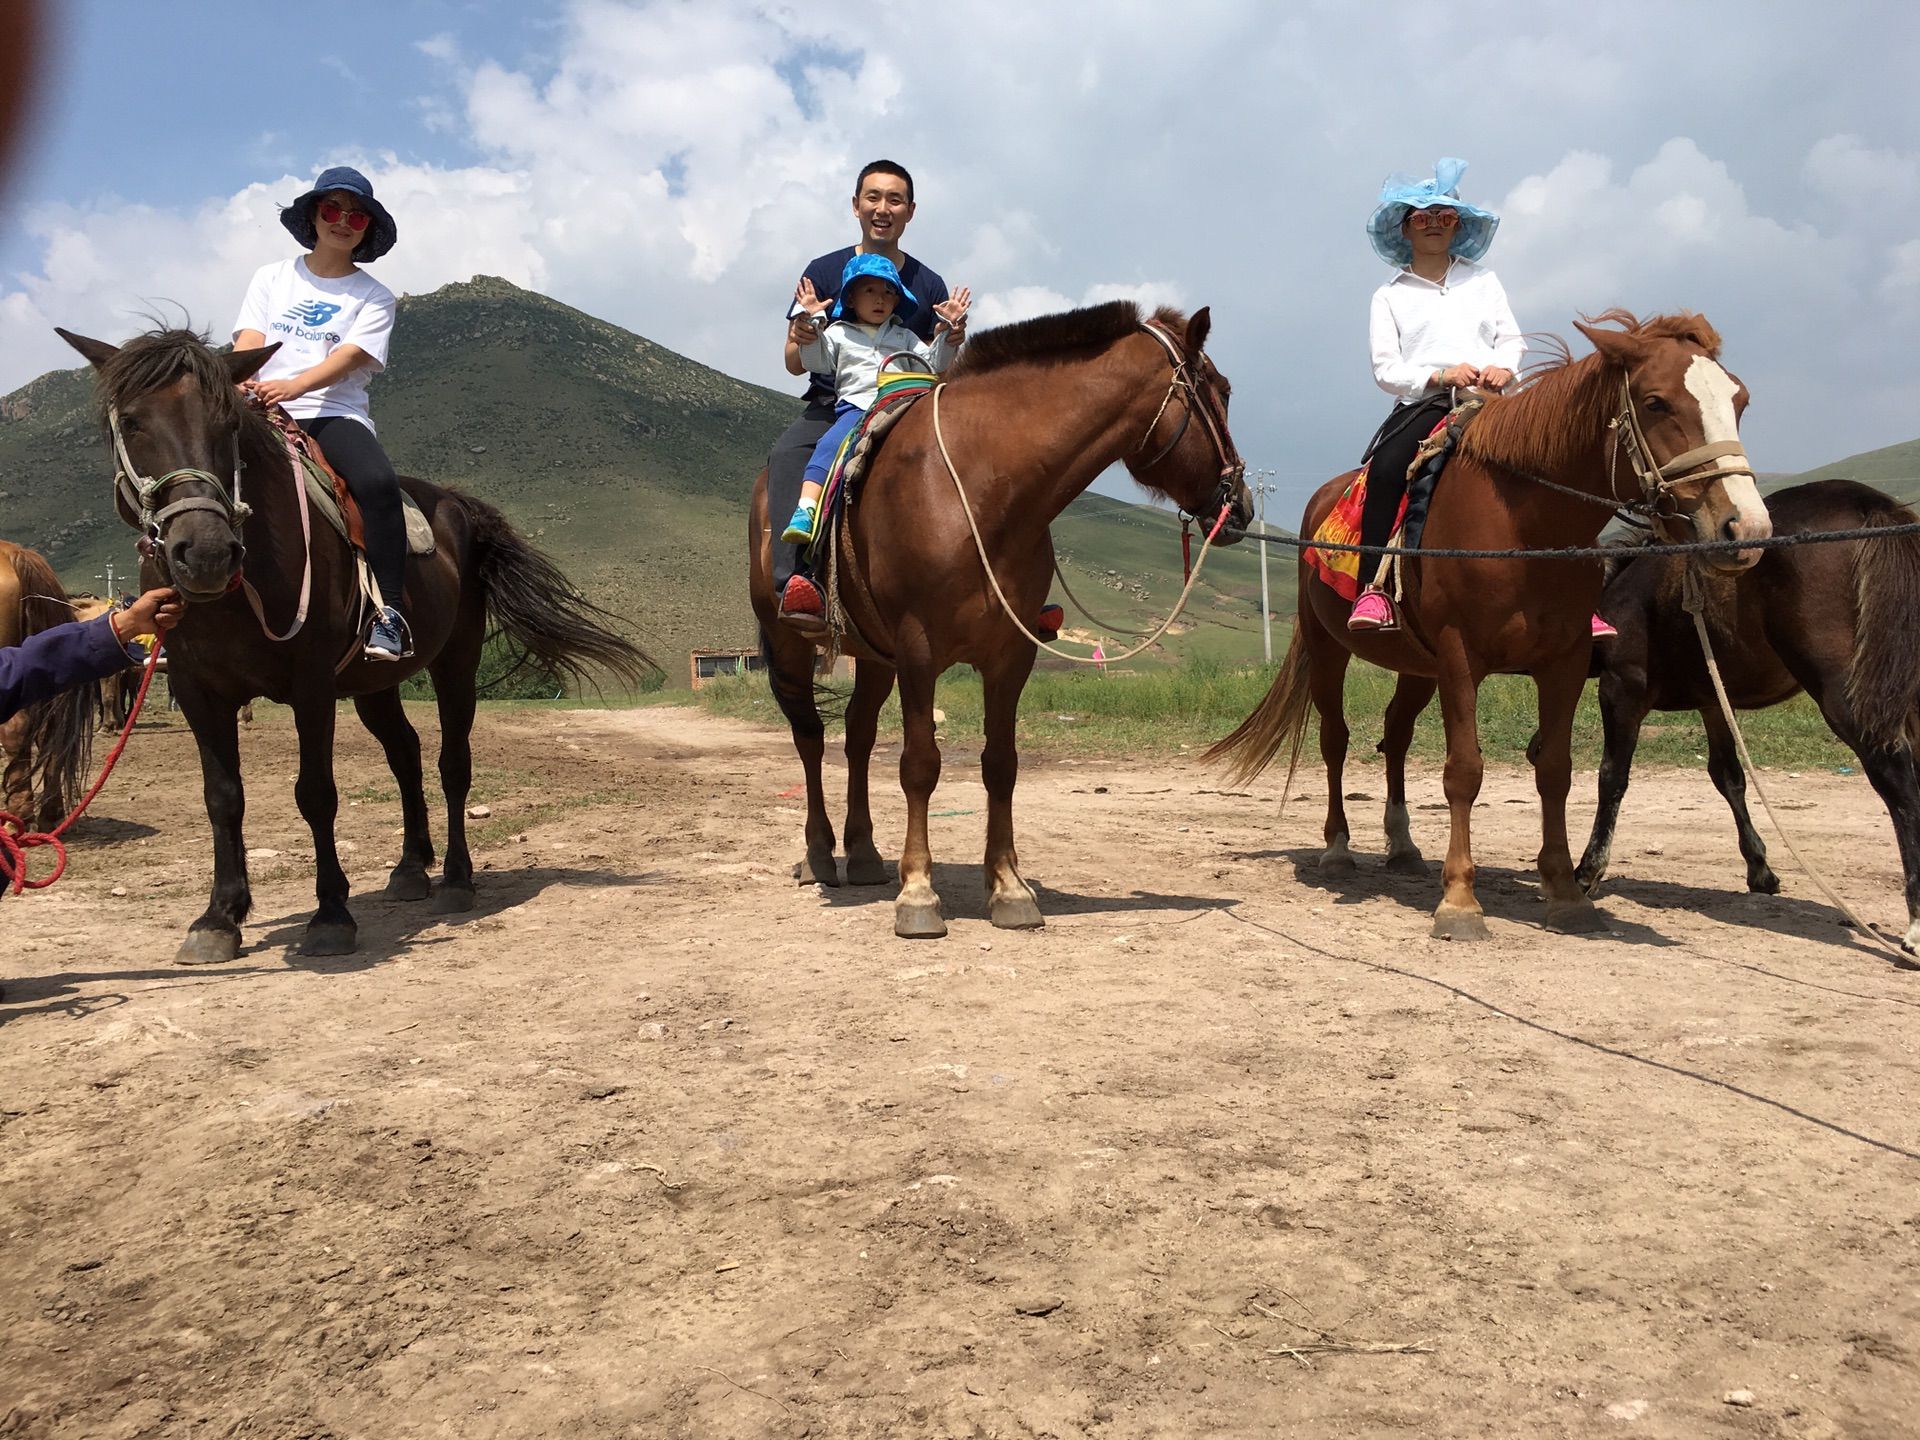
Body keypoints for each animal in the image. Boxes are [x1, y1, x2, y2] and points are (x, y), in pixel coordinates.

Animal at [58, 324, 652, 960]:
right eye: (132, 422)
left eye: (228, 424)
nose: (208, 552)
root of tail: (458, 504)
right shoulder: (199, 691)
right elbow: (223, 797)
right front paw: (219, 917)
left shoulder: (312, 686)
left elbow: (316, 793)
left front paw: (331, 914)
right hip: (374, 686)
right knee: (406, 754)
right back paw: (411, 869)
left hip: (455, 664)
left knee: (452, 763)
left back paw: (456, 880)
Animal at [1205, 314, 1774, 940]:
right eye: (1655, 402)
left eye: (1740, 401)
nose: (1745, 528)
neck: (1525, 527)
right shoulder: (1461, 658)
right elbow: (1464, 771)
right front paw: (1459, 901)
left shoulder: (1563, 663)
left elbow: (1555, 770)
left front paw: (1565, 892)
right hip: (1331, 649)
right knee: (1336, 739)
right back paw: (1338, 848)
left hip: (1417, 665)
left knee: (1395, 735)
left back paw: (1402, 846)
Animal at [1582, 481, 1920, 960]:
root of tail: (1867, 503)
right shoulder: (1712, 700)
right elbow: (1728, 777)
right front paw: (1760, 868)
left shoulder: (1621, 690)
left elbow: (1612, 778)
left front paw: (1588, 869)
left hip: (1850, 694)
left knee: (1898, 785)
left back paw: (1916, 925)